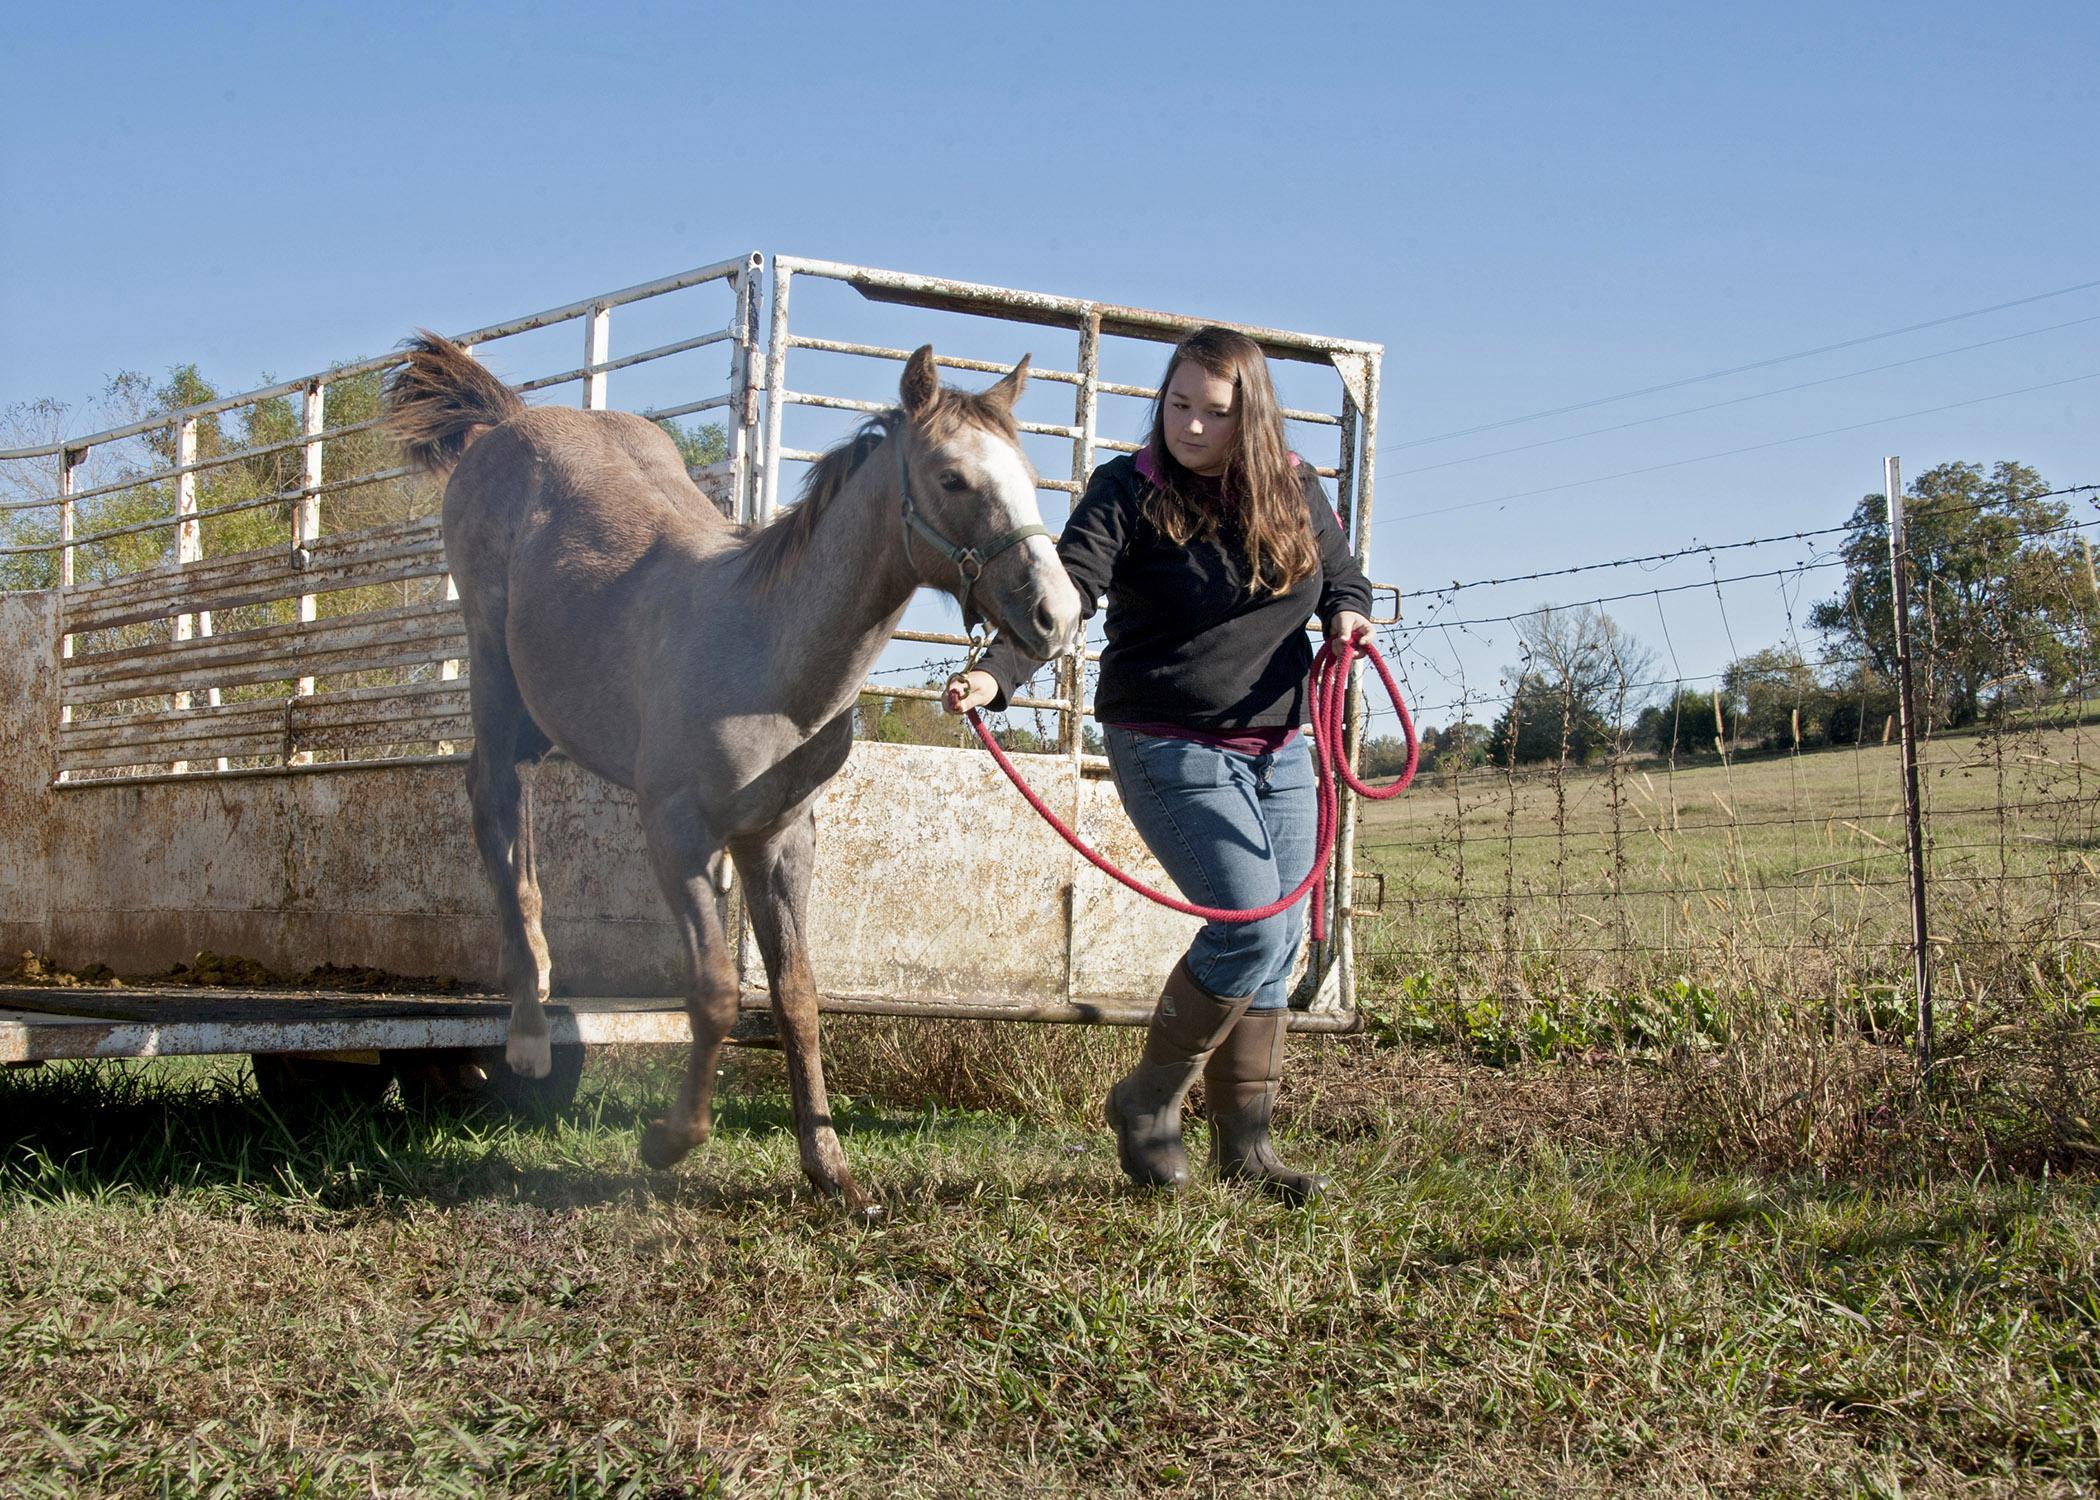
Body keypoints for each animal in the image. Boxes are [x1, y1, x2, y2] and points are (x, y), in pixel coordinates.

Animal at [380, 334, 1092, 1210]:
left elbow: (797, 996)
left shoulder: (779, 840)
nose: (1058, 616)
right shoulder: (678, 833)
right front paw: (670, 1141)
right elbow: (717, 992)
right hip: (494, 677)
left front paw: (831, 1170)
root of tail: (511, 418)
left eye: (1026, 474)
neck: (768, 656)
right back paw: (527, 1035)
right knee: (493, 805)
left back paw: (544, 974)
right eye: (953, 478)